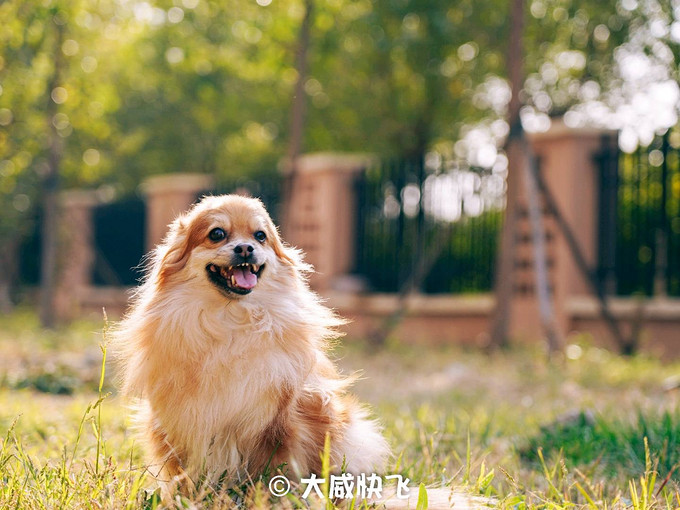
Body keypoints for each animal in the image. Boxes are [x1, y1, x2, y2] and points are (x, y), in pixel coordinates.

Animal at [111, 194, 388, 498]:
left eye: (260, 236)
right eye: (217, 234)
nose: (245, 248)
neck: (230, 320)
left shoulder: (283, 420)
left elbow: (280, 465)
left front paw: (276, 496)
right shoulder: (175, 421)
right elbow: (179, 471)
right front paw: (181, 498)